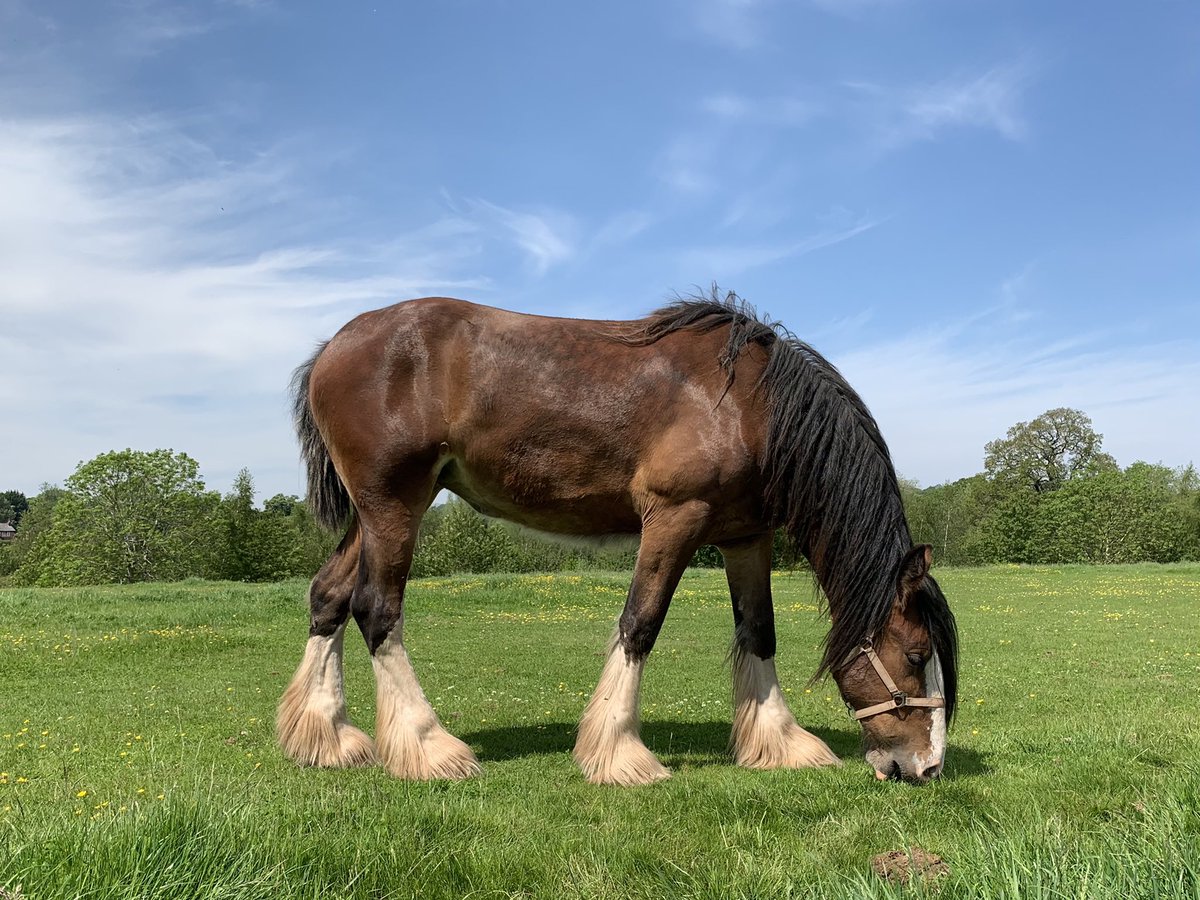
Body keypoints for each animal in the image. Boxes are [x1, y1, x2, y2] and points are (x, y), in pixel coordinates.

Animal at [277, 292, 959, 786]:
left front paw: (781, 742)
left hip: (371, 516)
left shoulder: (745, 537)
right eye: (917, 654)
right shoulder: (675, 519)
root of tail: (333, 348)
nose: (926, 767)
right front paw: (621, 754)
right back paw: (428, 746)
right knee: (377, 609)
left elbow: (758, 632)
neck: (753, 407)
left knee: (329, 597)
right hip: (395, 506)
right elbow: (640, 624)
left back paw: (327, 738)